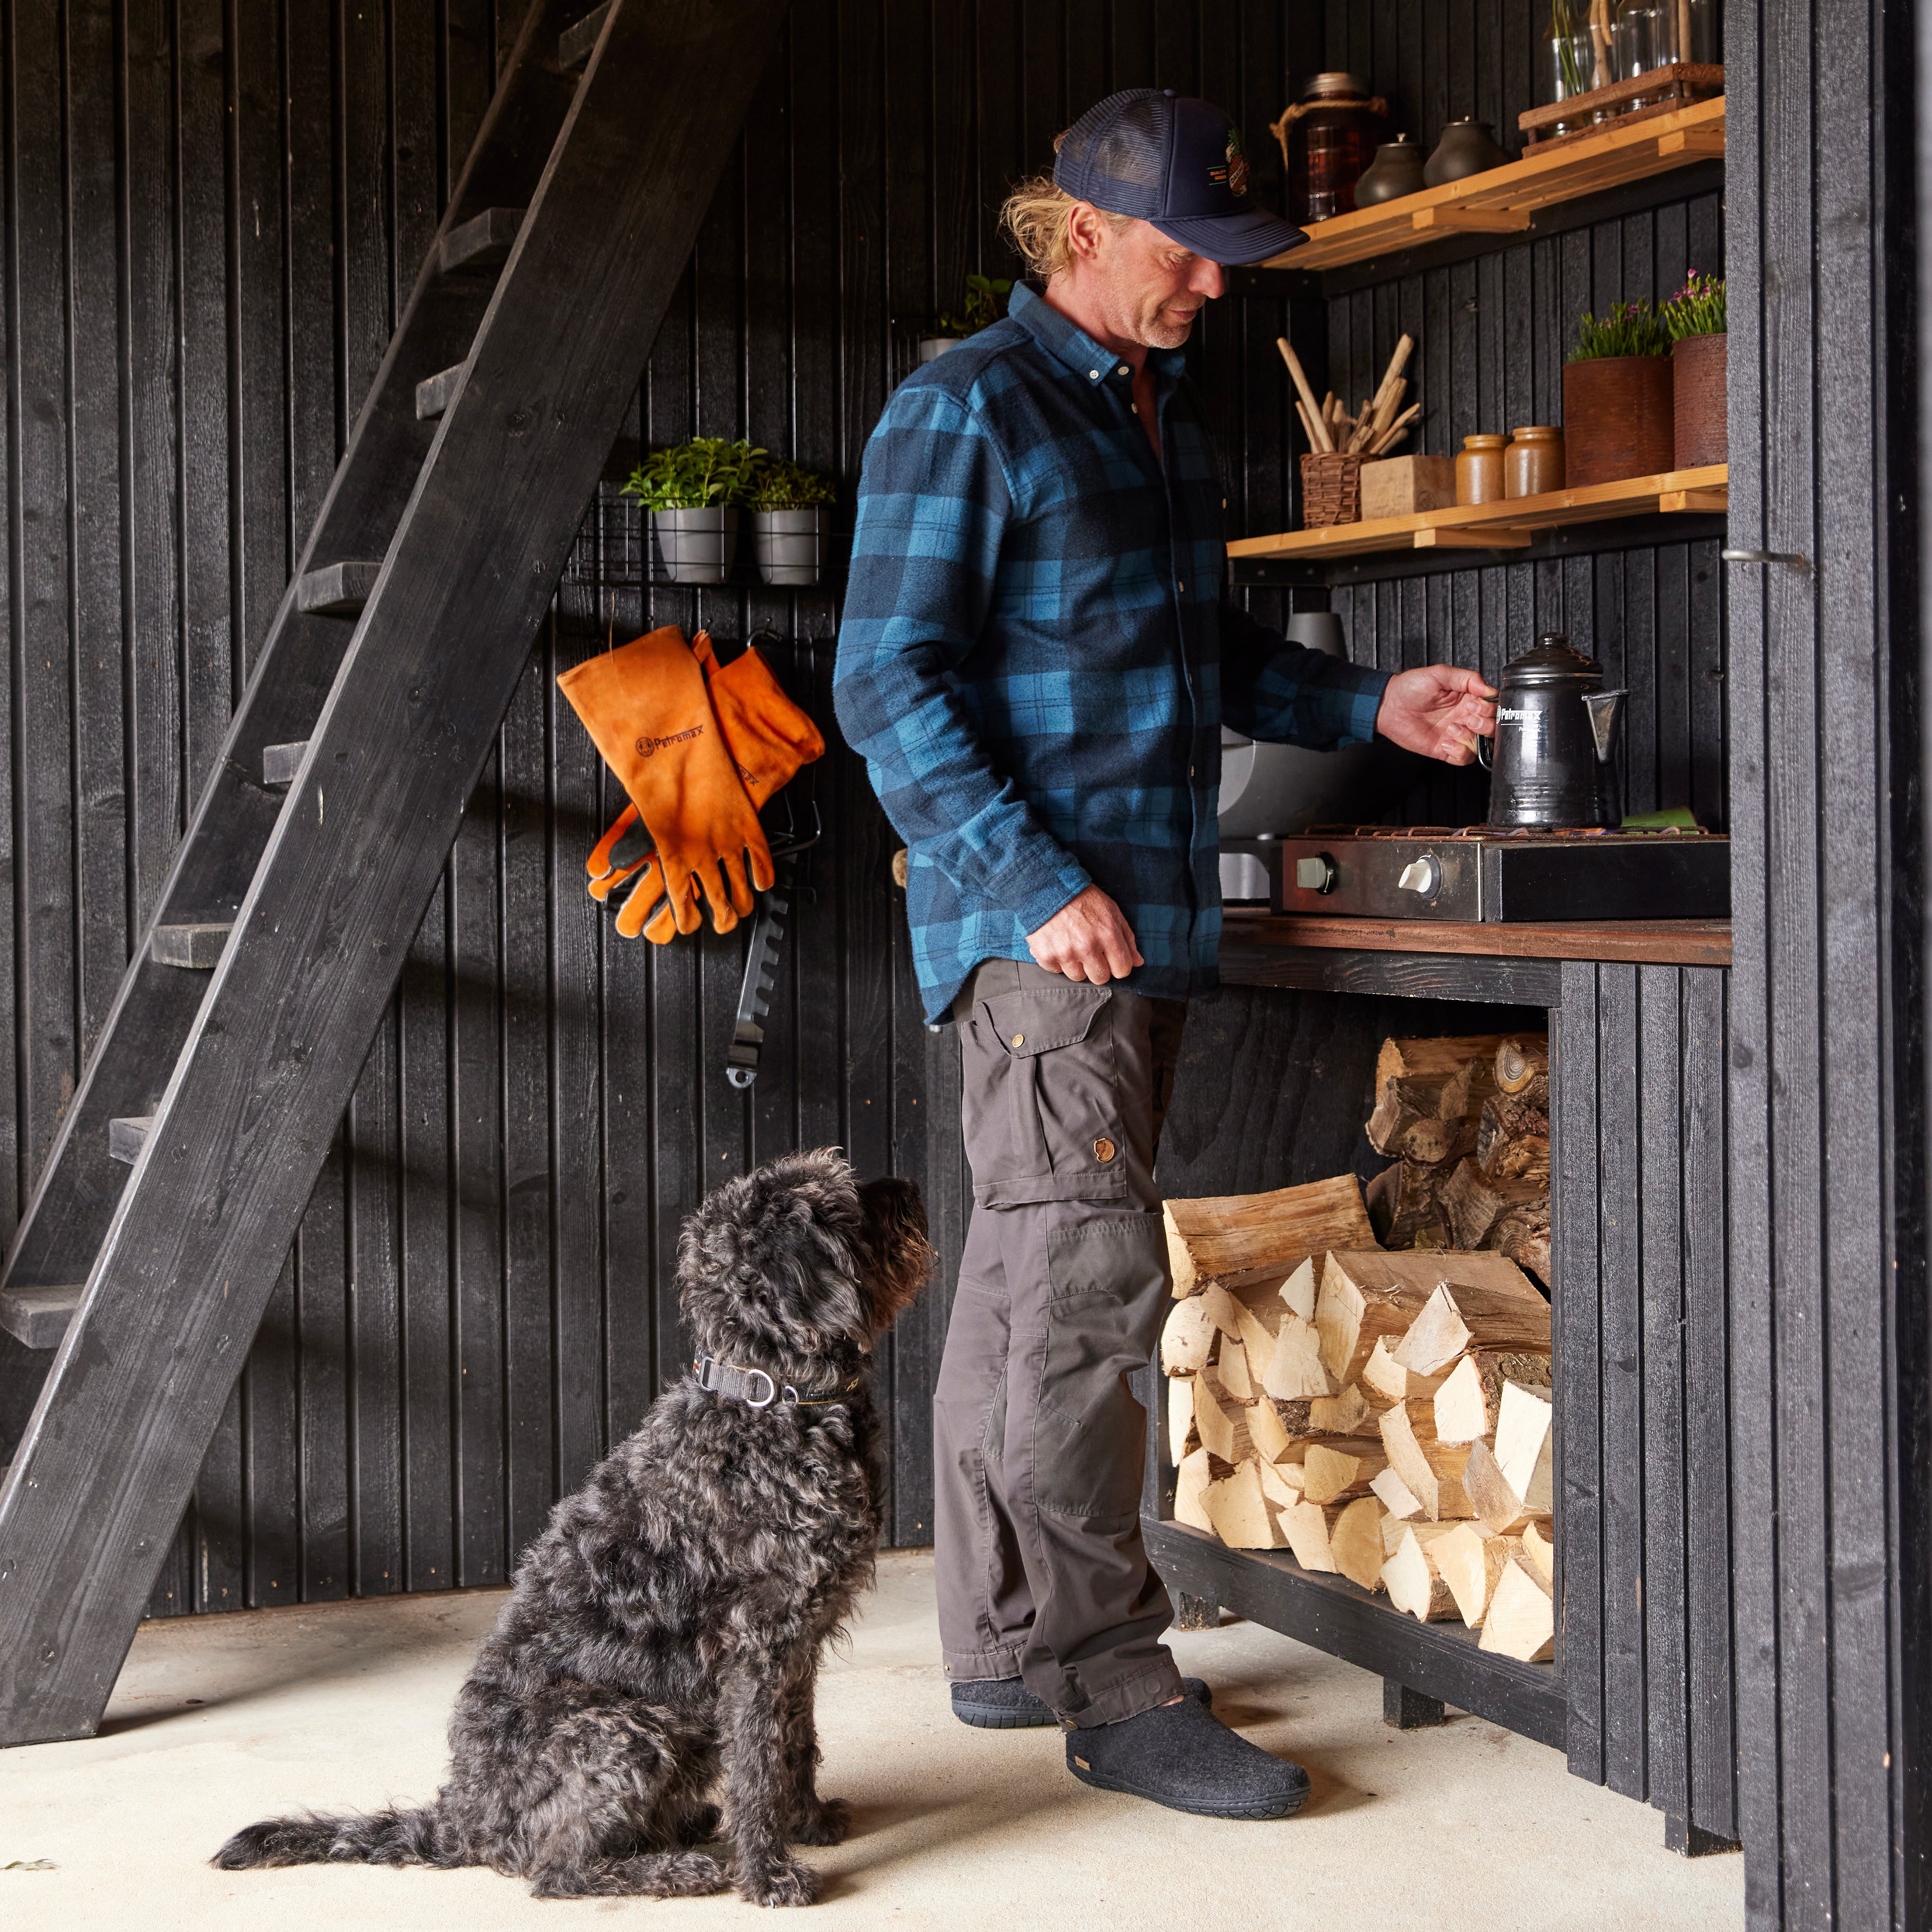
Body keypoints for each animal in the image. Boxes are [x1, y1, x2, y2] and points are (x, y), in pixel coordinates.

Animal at [215, 1136, 931, 1909]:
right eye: (845, 1204)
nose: (915, 1188)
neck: (771, 1402)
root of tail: (461, 1817)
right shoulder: (758, 1649)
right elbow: (759, 1766)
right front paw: (767, 1872)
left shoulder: (798, 1644)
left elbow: (796, 1743)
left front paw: (810, 1822)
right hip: (620, 1727)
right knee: (556, 1872)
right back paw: (681, 1868)